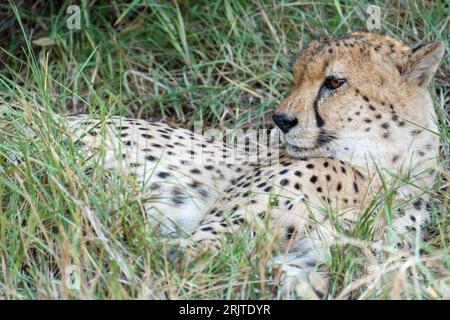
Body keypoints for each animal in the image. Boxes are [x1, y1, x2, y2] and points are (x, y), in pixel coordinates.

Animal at [11, 31, 442, 298]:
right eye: (295, 77)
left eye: (334, 83)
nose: (281, 120)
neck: (375, 173)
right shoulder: (207, 238)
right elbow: (183, 257)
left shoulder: (315, 258)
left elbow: (323, 277)